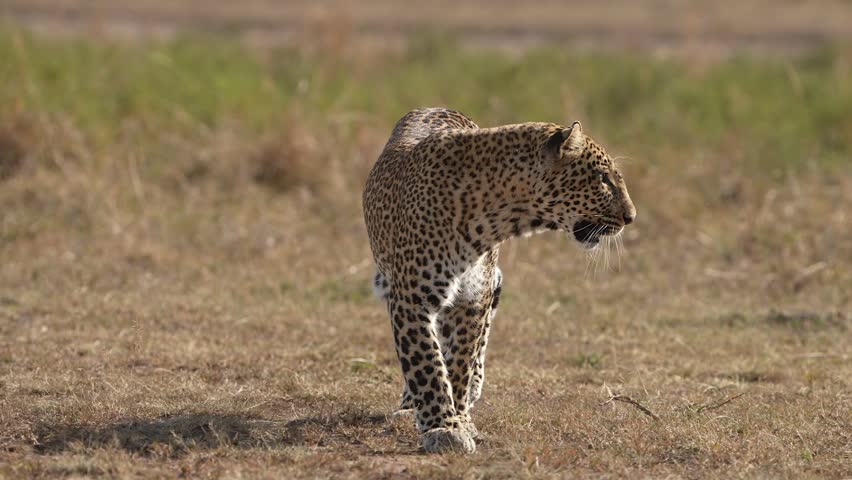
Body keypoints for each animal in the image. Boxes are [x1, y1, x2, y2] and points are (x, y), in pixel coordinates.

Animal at [362, 108, 636, 453]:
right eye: (602, 178)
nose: (631, 216)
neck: (495, 216)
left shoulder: (472, 300)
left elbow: (460, 362)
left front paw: (460, 418)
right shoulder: (412, 298)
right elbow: (427, 364)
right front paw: (443, 426)